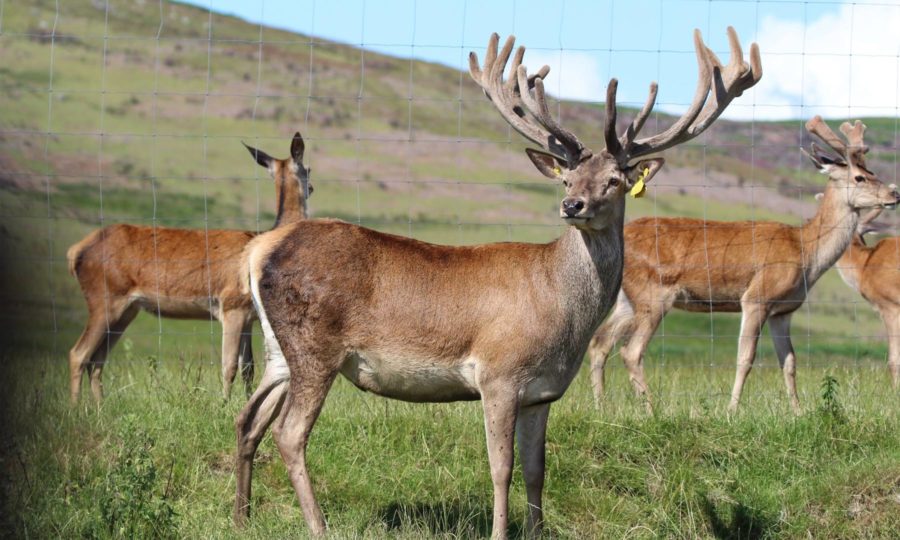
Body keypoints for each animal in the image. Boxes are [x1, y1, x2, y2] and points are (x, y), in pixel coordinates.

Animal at [67, 132, 312, 400]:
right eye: (307, 169)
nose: (311, 187)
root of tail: (76, 251)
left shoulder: (248, 316)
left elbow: (248, 368)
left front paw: (248, 401)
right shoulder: (231, 304)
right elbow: (228, 365)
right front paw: (224, 404)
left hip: (126, 309)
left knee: (97, 360)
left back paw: (98, 406)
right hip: (104, 298)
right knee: (78, 354)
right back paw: (76, 407)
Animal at [230, 30, 760, 540]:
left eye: (613, 179)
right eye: (567, 178)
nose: (573, 206)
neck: (563, 315)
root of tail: (260, 250)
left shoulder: (543, 392)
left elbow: (537, 469)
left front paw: (538, 530)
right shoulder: (499, 374)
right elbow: (500, 468)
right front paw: (500, 531)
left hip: (280, 350)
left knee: (247, 418)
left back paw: (244, 515)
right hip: (315, 346)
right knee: (288, 433)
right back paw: (318, 525)